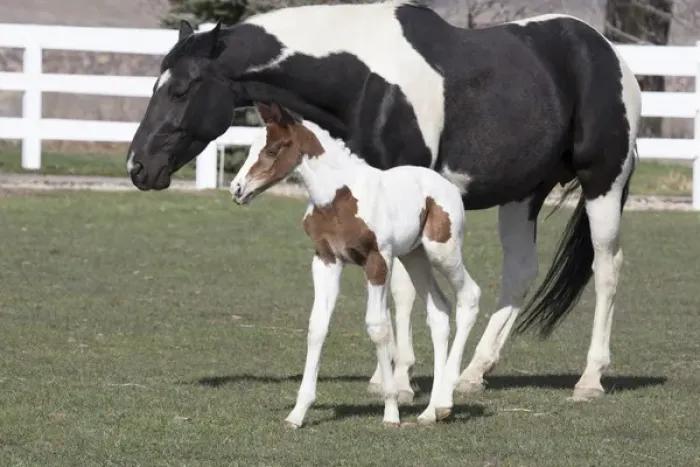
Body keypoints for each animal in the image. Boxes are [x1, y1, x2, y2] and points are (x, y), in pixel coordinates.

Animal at [230, 101, 481, 427]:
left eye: (273, 148)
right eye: (250, 147)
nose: (237, 188)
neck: (339, 198)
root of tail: (447, 187)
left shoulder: (377, 260)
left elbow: (378, 326)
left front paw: (391, 410)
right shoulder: (326, 260)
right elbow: (317, 326)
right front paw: (298, 413)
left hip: (443, 252)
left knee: (469, 297)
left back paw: (445, 402)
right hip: (414, 256)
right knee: (438, 311)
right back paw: (431, 411)